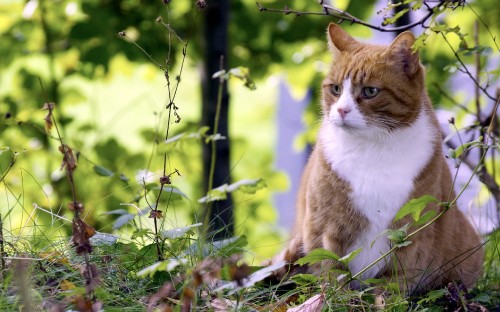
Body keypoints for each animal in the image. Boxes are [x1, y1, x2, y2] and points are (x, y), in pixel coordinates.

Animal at [274, 23, 484, 294]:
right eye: (336, 89)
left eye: (370, 91)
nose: (341, 110)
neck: (372, 148)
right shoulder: (323, 224)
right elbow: (330, 269)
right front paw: (336, 296)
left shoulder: (413, 227)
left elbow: (396, 279)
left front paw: (384, 298)